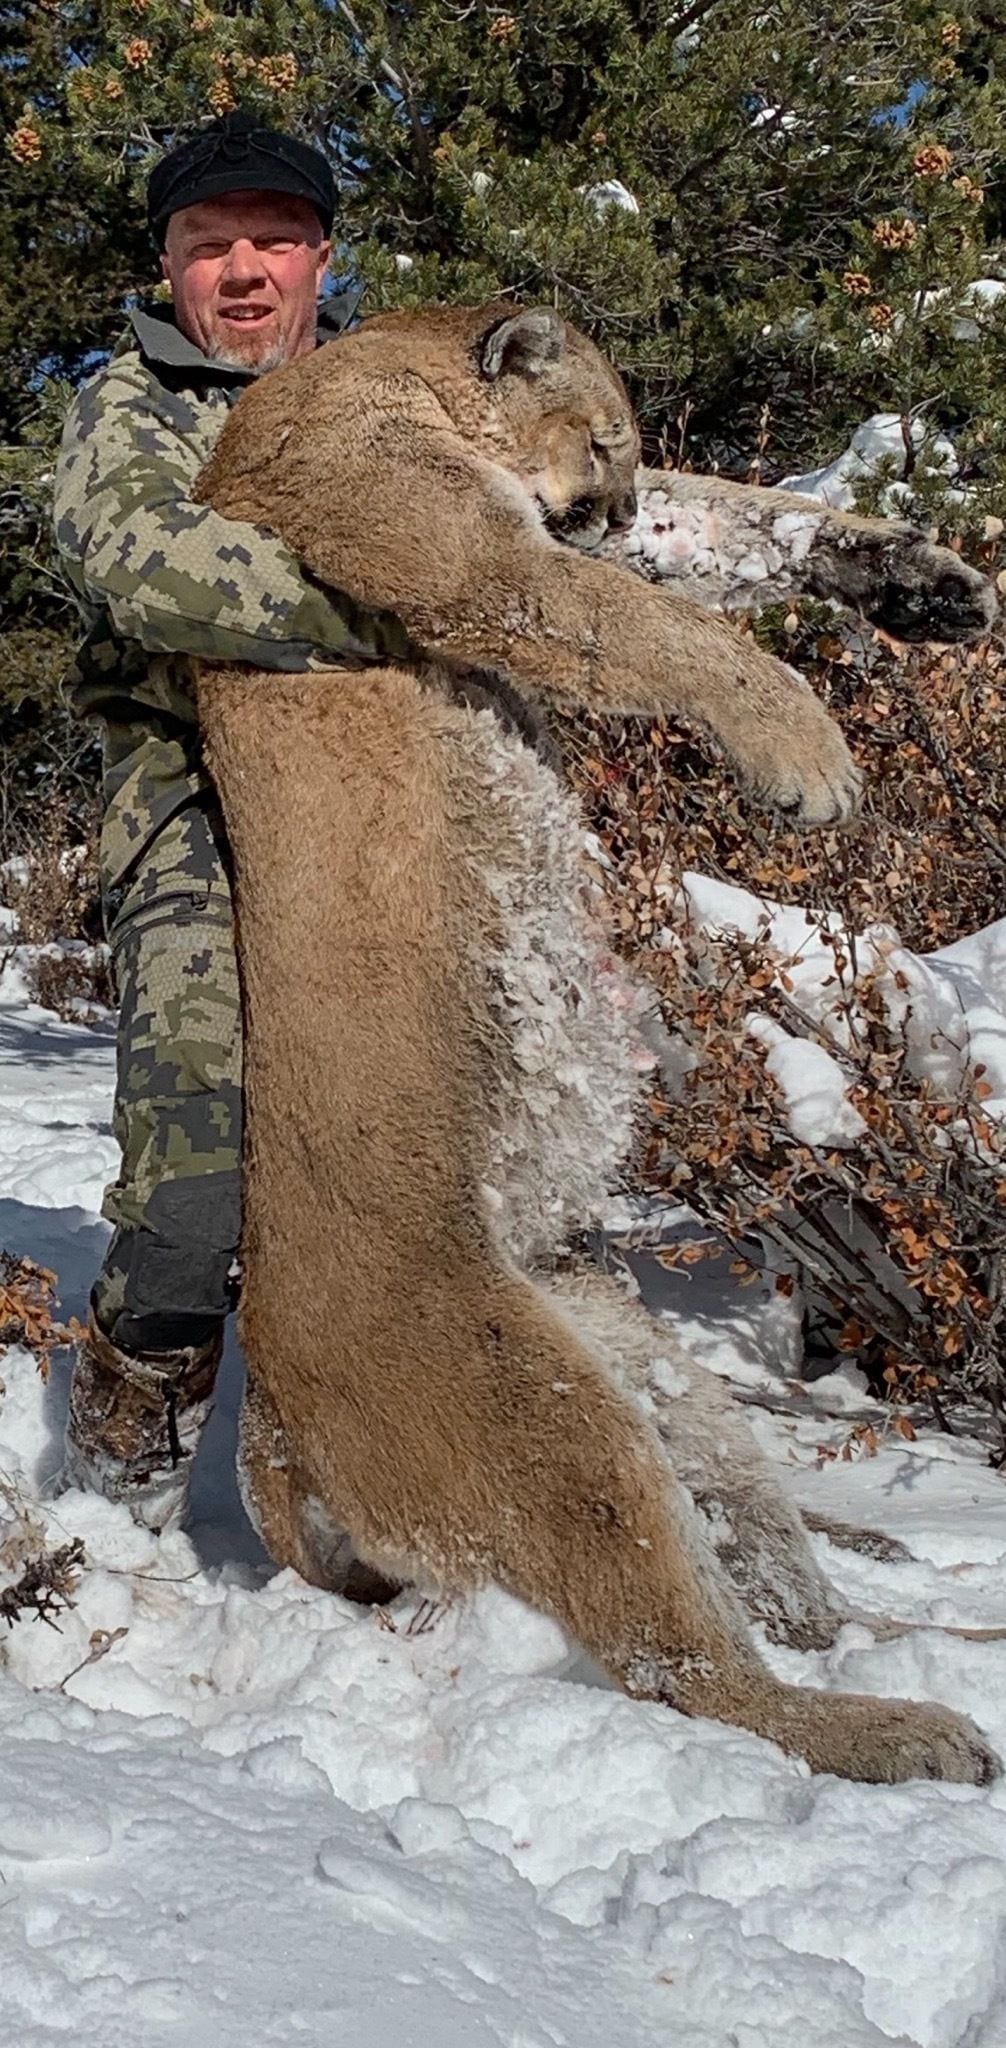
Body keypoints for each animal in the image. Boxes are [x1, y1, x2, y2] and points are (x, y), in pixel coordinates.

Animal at [192, 302, 1000, 1786]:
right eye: (608, 440)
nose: (610, 509)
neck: (376, 362)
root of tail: (269, 1419)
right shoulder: (465, 555)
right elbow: (646, 618)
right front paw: (807, 749)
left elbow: (725, 525)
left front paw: (922, 580)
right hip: (544, 1415)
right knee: (688, 1666)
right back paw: (902, 1727)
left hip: (650, 1379)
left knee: (768, 1582)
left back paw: (924, 1644)